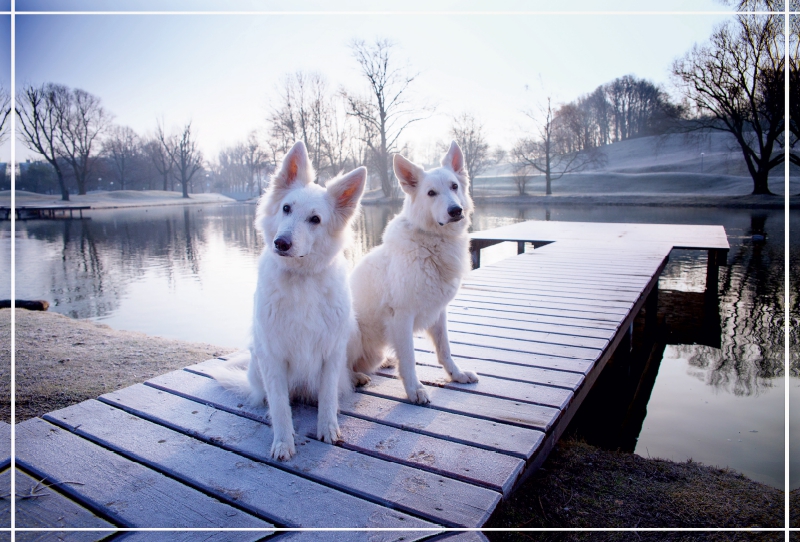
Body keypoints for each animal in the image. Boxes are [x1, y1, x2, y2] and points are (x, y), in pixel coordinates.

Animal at [208, 141, 368, 464]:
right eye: (286, 208)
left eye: (315, 219)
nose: (280, 243)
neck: (301, 279)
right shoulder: (273, 356)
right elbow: (280, 406)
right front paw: (283, 443)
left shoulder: (331, 351)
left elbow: (328, 398)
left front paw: (327, 429)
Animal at [348, 140, 476, 404]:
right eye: (431, 193)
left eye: (454, 186)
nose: (456, 210)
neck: (431, 243)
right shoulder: (402, 316)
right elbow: (408, 358)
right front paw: (414, 389)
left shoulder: (438, 312)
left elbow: (445, 349)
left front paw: (456, 375)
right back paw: (354, 377)